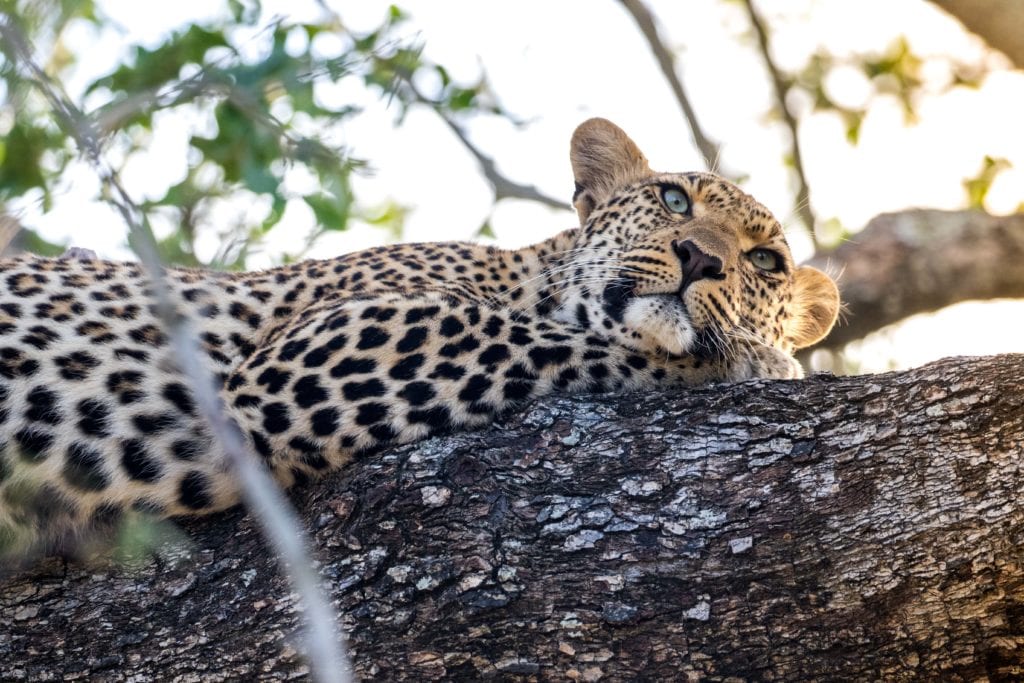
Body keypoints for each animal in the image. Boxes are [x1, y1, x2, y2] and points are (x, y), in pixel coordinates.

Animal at [0, 118, 839, 561]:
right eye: (673, 200)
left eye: (765, 261)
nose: (701, 258)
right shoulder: (306, 351)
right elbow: (547, 336)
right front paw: (760, 358)